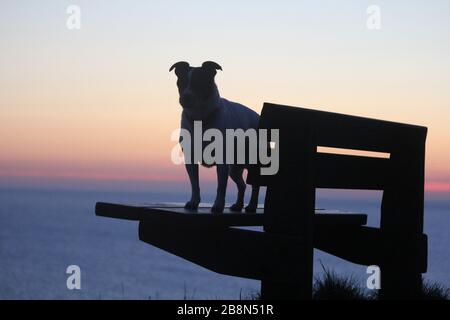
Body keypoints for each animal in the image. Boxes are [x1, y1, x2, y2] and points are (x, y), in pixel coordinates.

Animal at [170, 61, 260, 214]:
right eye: (180, 82)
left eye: (200, 82)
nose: (185, 97)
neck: (201, 118)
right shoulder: (191, 159)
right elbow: (195, 183)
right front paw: (194, 202)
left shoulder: (222, 162)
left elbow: (221, 187)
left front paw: (218, 205)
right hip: (234, 169)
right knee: (241, 185)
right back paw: (238, 205)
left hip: (254, 162)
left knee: (255, 185)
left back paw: (252, 206)